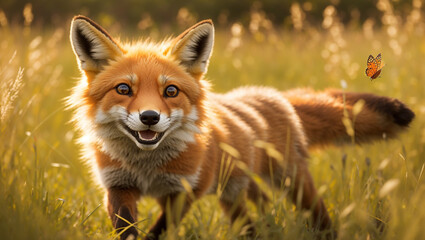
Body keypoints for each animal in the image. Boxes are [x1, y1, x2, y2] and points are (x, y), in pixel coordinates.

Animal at [68, 15, 412, 239]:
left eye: (171, 91)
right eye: (124, 89)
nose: (150, 117)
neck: (147, 166)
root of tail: (271, 95)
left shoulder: (187, 189)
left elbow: (159, 230)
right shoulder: (118, 186)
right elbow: (128, 230)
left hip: (292, 181)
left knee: (318, 215)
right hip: (234, 195)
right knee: (254, 222)